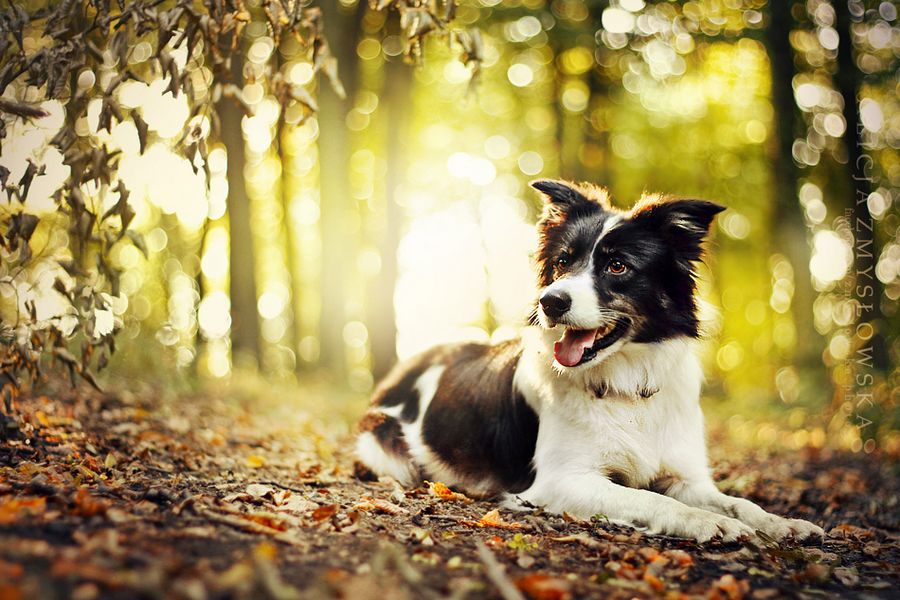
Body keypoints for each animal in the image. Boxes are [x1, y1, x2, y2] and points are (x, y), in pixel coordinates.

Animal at [356, 179, 828, 544]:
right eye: (563, 262)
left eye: (617, 266)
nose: (549, 302)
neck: (626, 383)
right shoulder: (561, 480)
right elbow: (651, 498)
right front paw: (708, 522)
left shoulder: (685, 475)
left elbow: (736, 500)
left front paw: (782, 522)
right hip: (383, 444)